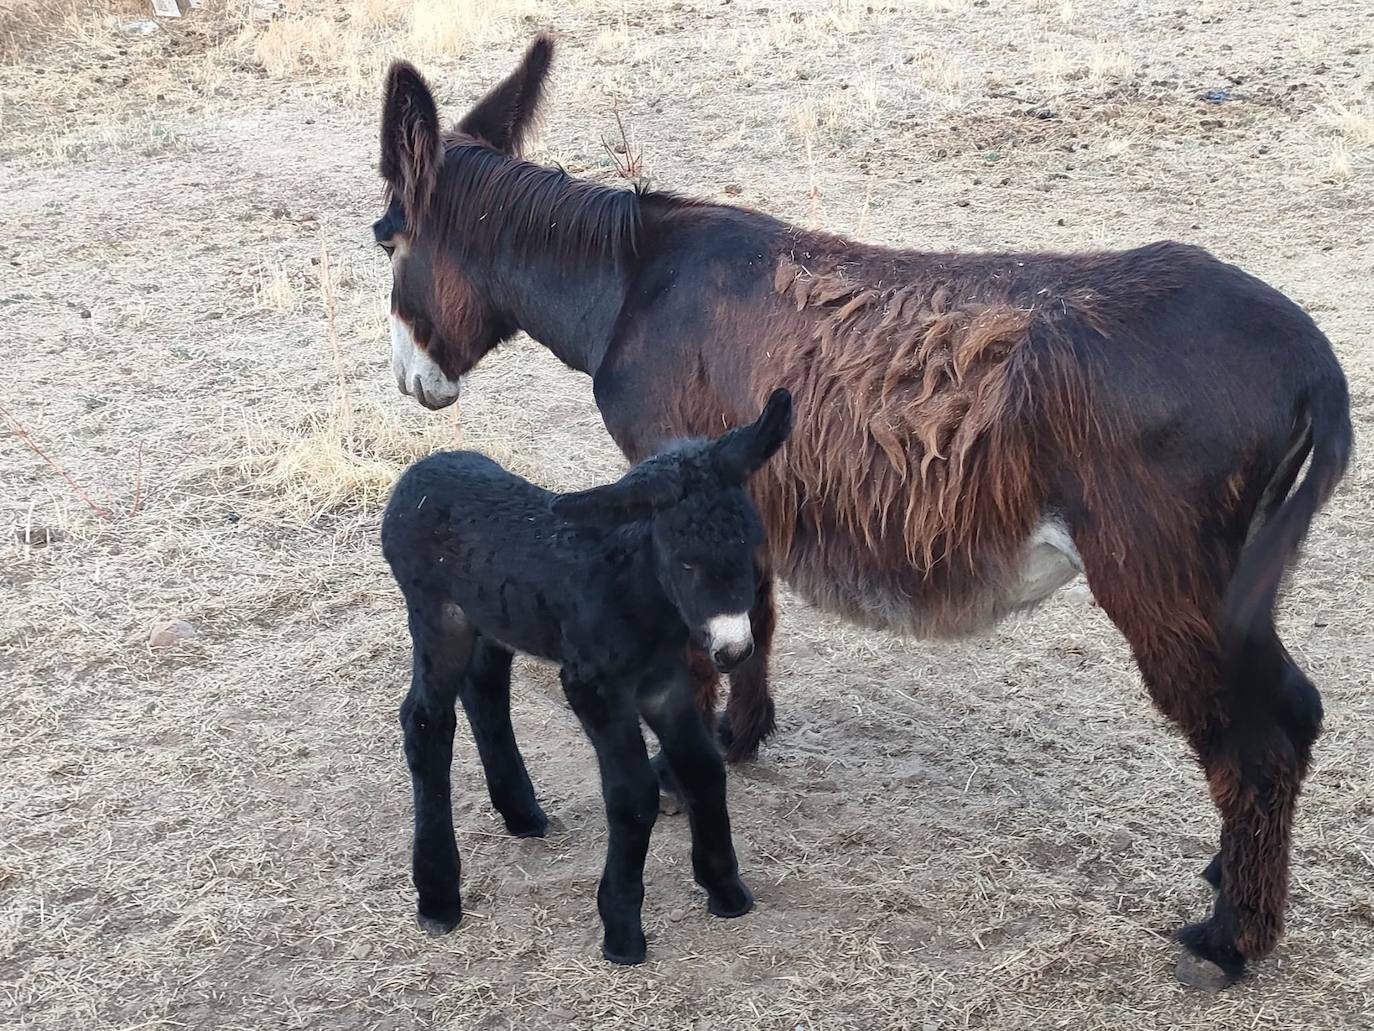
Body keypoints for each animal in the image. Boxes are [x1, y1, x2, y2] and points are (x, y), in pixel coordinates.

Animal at [379, 390, 796, 967]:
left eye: (751, 543)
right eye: (685, 562)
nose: (734, 650)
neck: (634, 591)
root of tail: (419, 472)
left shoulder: (663, 682)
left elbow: (704, 768)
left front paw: (725, 889)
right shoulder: (593, 687)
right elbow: (634, 793)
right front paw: (621, 930)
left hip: (494, 618)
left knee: (485, 689)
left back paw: (521, 814)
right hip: (439, 618)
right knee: (425, 721)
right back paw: (439, 897)